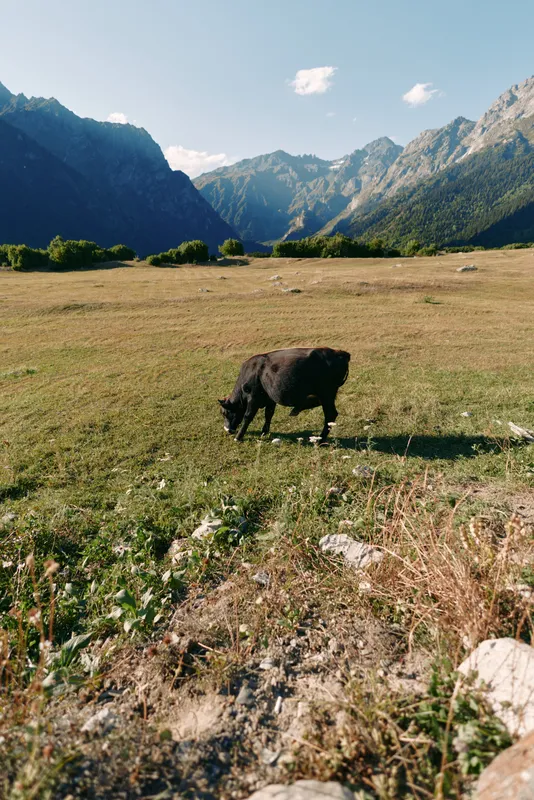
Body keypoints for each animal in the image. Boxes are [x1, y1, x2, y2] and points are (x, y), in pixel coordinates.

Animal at [218, 347, 350, 443]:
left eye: (225, 413)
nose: (227, 430)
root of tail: (340, 353)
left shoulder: (253, 398)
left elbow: (247, 417)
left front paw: (239, 437)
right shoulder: (270, 399)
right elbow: (268, 415)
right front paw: (264, 432)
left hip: (326, 395)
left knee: (330, 415)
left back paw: (320, 439)